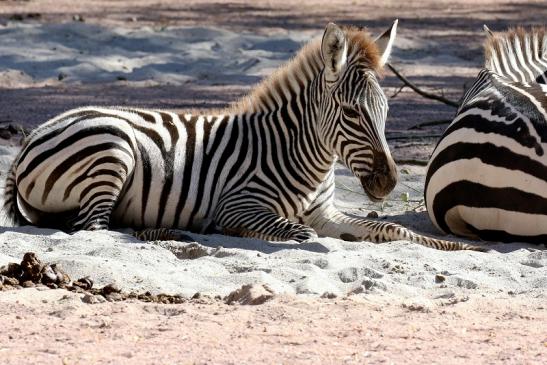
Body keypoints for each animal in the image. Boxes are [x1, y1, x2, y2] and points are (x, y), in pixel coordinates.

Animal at [2, 22, 482, 250]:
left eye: (386, 112)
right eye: (350, 113)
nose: (389, 183)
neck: (307, 156)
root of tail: (31, 136)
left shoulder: (326, 213)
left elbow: (391, 230)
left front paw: (454, 246)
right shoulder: (239, 205)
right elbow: (298, 234)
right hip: (111, 147)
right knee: (94, 229)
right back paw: (171, 235)